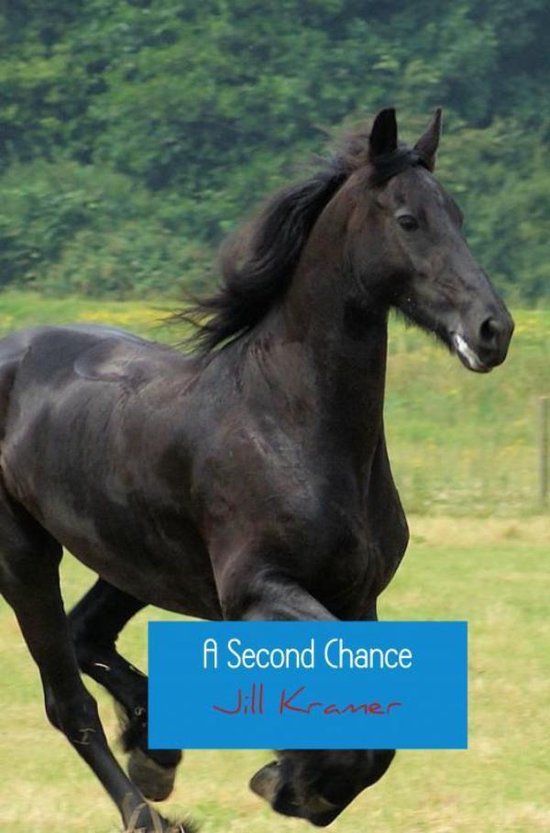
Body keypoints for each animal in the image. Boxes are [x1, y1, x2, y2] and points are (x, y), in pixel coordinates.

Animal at [0, 108, 513, 832]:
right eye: (409, 219)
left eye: (459, 215)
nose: (493, 329)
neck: (288, 422)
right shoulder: (256, 592)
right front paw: (289, 779)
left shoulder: (357, 598)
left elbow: (376, 733)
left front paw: (299, 777)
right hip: (24, 557)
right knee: (66, 699)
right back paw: (145, 809)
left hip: (134, 559)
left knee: (85, 632)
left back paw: (156, 751)